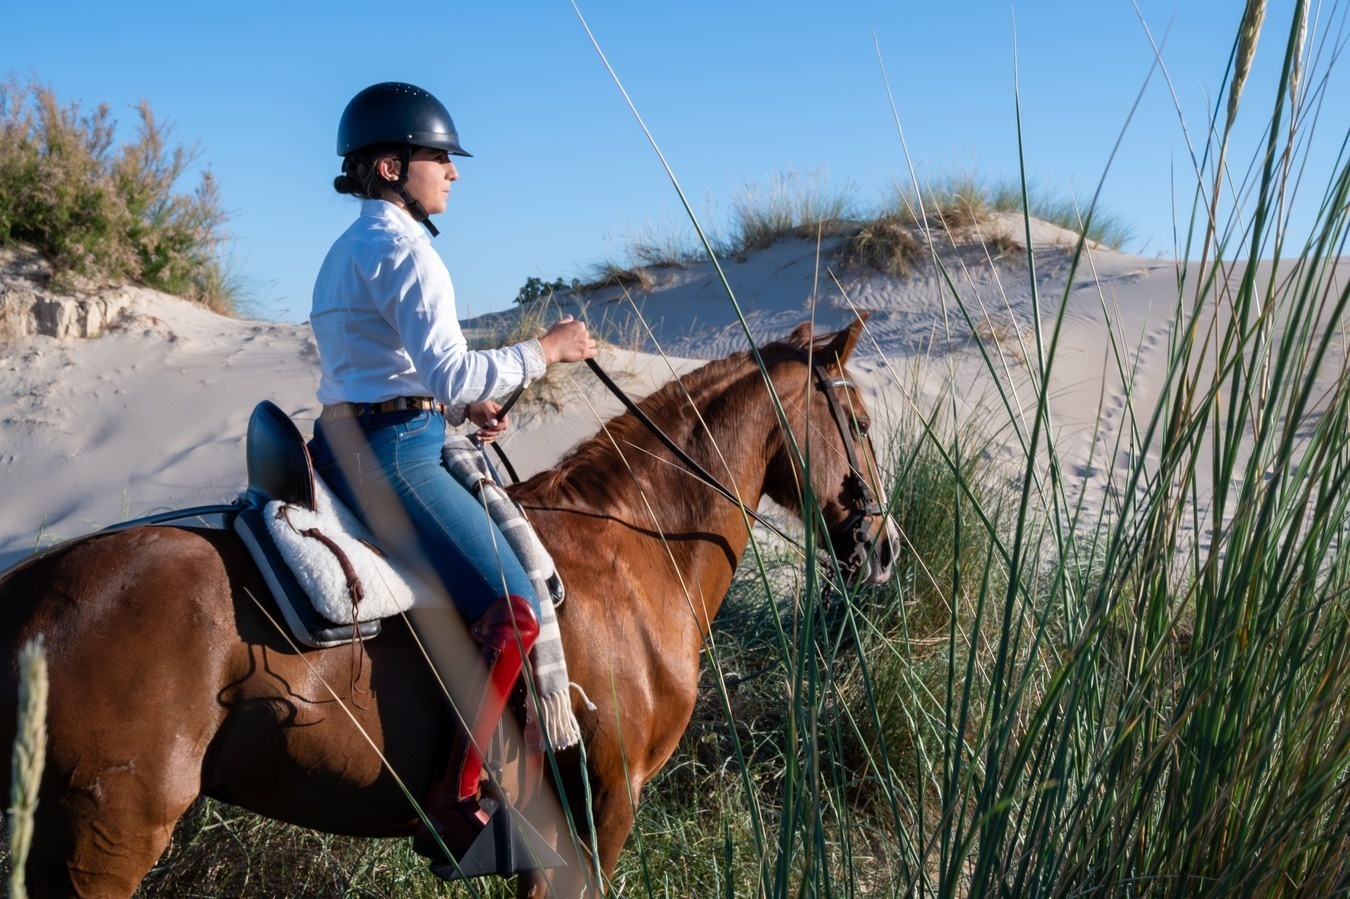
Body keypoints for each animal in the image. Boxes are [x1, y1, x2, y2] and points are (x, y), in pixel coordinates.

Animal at [0, 316, 896, 898]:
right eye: (857, 419)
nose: (884, 548)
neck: (632, 548)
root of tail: (30, 592)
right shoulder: (603, 807)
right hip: (103, 844)